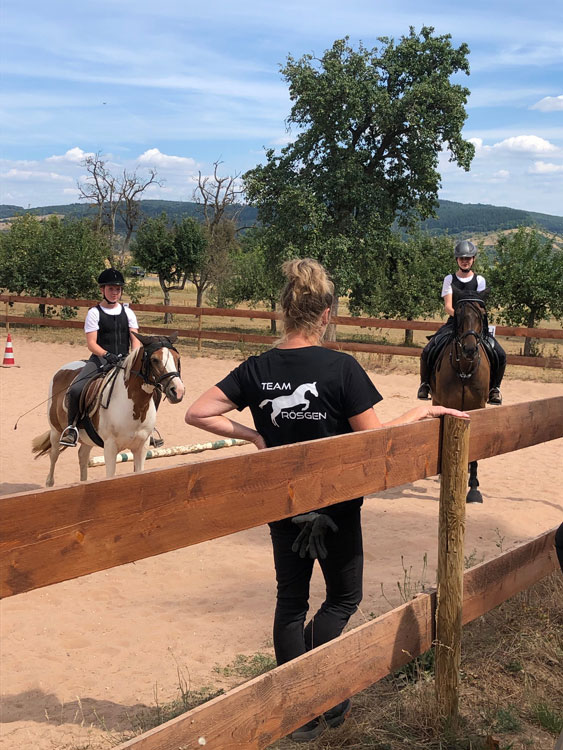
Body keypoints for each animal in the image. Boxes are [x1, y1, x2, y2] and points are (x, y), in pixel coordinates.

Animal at [31, 334, 185, 488]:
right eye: (154, 360)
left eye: (177, 357)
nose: (177, 391)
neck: (133, 407)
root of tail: (64, 369)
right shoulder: (110, 447)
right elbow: (110, 477)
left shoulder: (142, 447)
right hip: (56, 432)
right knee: (53, 457)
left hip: (87, 437)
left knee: (82, 456)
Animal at [432, 300, 490, 506]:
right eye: (459, 316)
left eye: (480, 317)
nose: (469, 349)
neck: (464, 370)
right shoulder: (449, 403)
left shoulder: (478, 407)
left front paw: (473, 488)